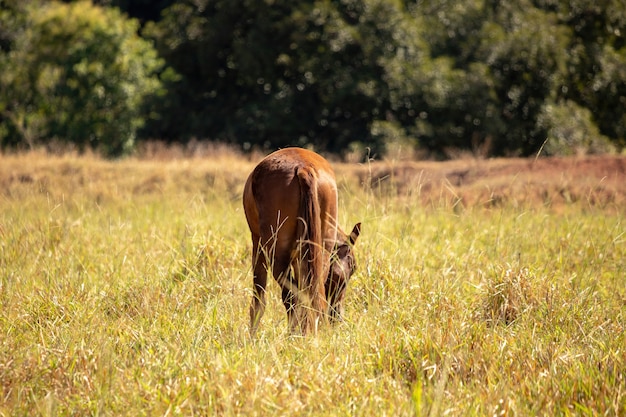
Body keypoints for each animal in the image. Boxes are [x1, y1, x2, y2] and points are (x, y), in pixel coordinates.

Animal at [244, 147, 360, 334]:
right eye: (352, 269)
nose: (337, 316)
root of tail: (303, 168)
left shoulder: (258, 244)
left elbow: (259, 299)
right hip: (319, 252)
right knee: (311, 295)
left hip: (277, 253)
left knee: (292, 297)